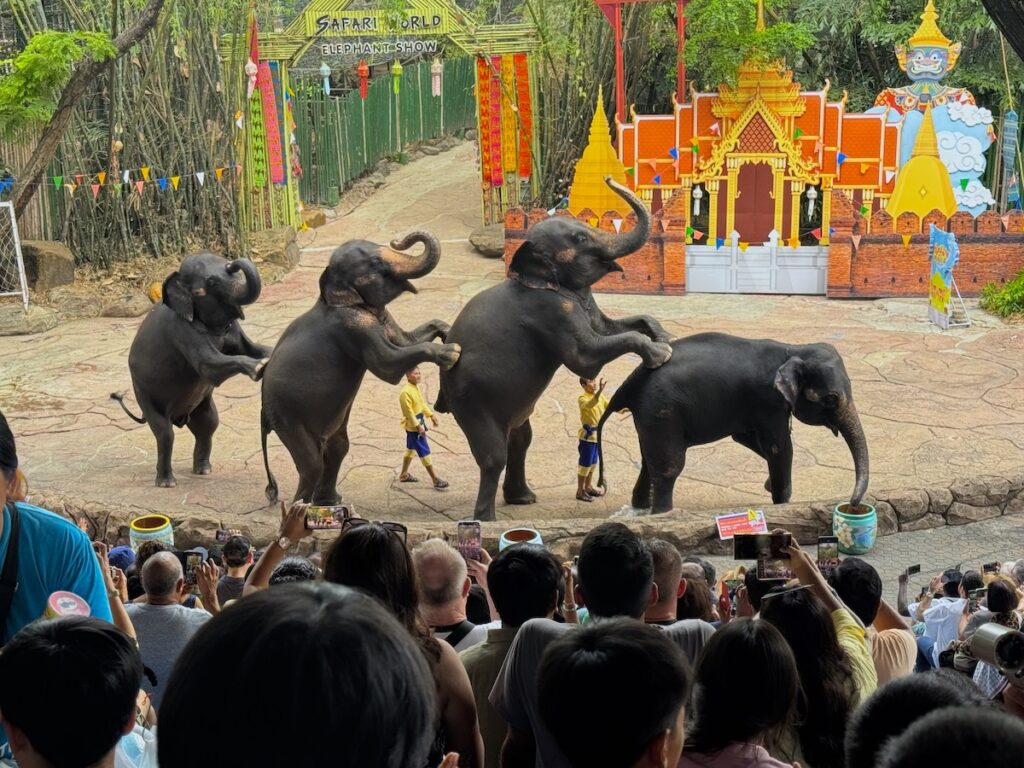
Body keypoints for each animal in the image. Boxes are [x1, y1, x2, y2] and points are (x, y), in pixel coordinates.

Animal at [111, 252, 271, 487]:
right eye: (211, 283)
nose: (233, 263)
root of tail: (178, 417)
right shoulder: (182, 330)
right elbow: (209, 365)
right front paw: (260, 367)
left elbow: (252, 348)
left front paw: (271, 354)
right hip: (144, 394)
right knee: (165, 433)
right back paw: (167, 483)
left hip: (198, 406)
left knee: (208, 423)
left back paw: (203, 471)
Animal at [260, 231, 460, 505]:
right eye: (377, 264)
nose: (398, 240)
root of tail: (263, 411)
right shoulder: (352, 327)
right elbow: (388, 363)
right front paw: (452, 352)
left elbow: (407, 341)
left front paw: (448, 331)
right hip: (286, 414)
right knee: (312, 463)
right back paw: (304, 508)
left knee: (337, 448)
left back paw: (331, 502)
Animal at [434, 177, 673, 521]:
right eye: (581, 238)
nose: (609, 179)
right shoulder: (550, 312)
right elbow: (585, 359)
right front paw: (660, 354)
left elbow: (612, 327)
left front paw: (665, 337)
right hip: (470, 400)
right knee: (493, 456)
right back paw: (486, 519)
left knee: (521, 440)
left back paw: (523, 499)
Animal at [596, 332, 870, 515]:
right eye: (831, 399)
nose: (853, 504)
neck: (793, 350)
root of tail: (629, 383)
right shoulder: (768, 401)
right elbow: (779, 447)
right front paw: (781, 501)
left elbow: (746, 438)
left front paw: (770, 485)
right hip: (661, 411)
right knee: (670, 467)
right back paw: (662, 514)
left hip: (651, 416)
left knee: (648, 460)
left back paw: (641, 507)